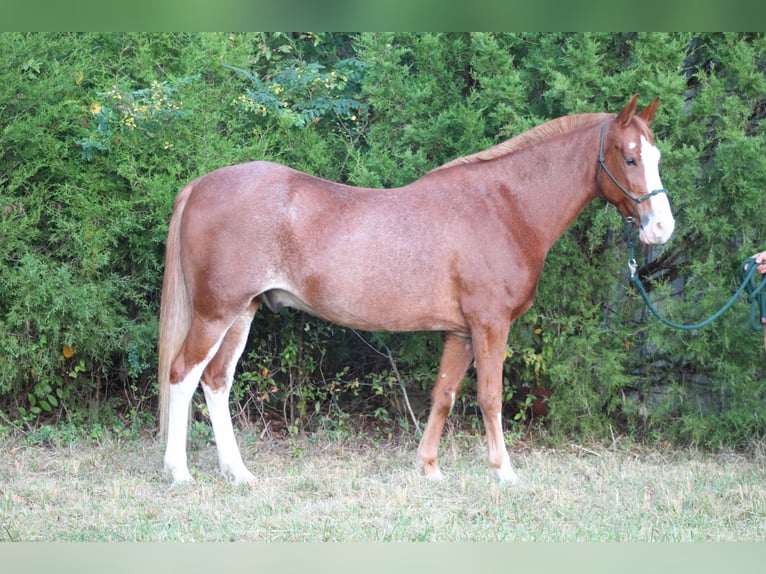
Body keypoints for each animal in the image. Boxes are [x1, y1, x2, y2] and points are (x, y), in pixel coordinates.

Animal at [159, 93, 676, 486]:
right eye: (630, 157)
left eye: (656, 157)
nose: (661, 228)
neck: (505, 207)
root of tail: (200, 185)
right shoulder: (490, 324)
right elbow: (490, 396)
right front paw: (504, 472)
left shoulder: (462, 331)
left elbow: (443, 394)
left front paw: (429, 468)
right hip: (215, 312)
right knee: (183, 374)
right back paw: (180, 472)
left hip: (242, 311)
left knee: (216, 382)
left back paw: (239, 473)